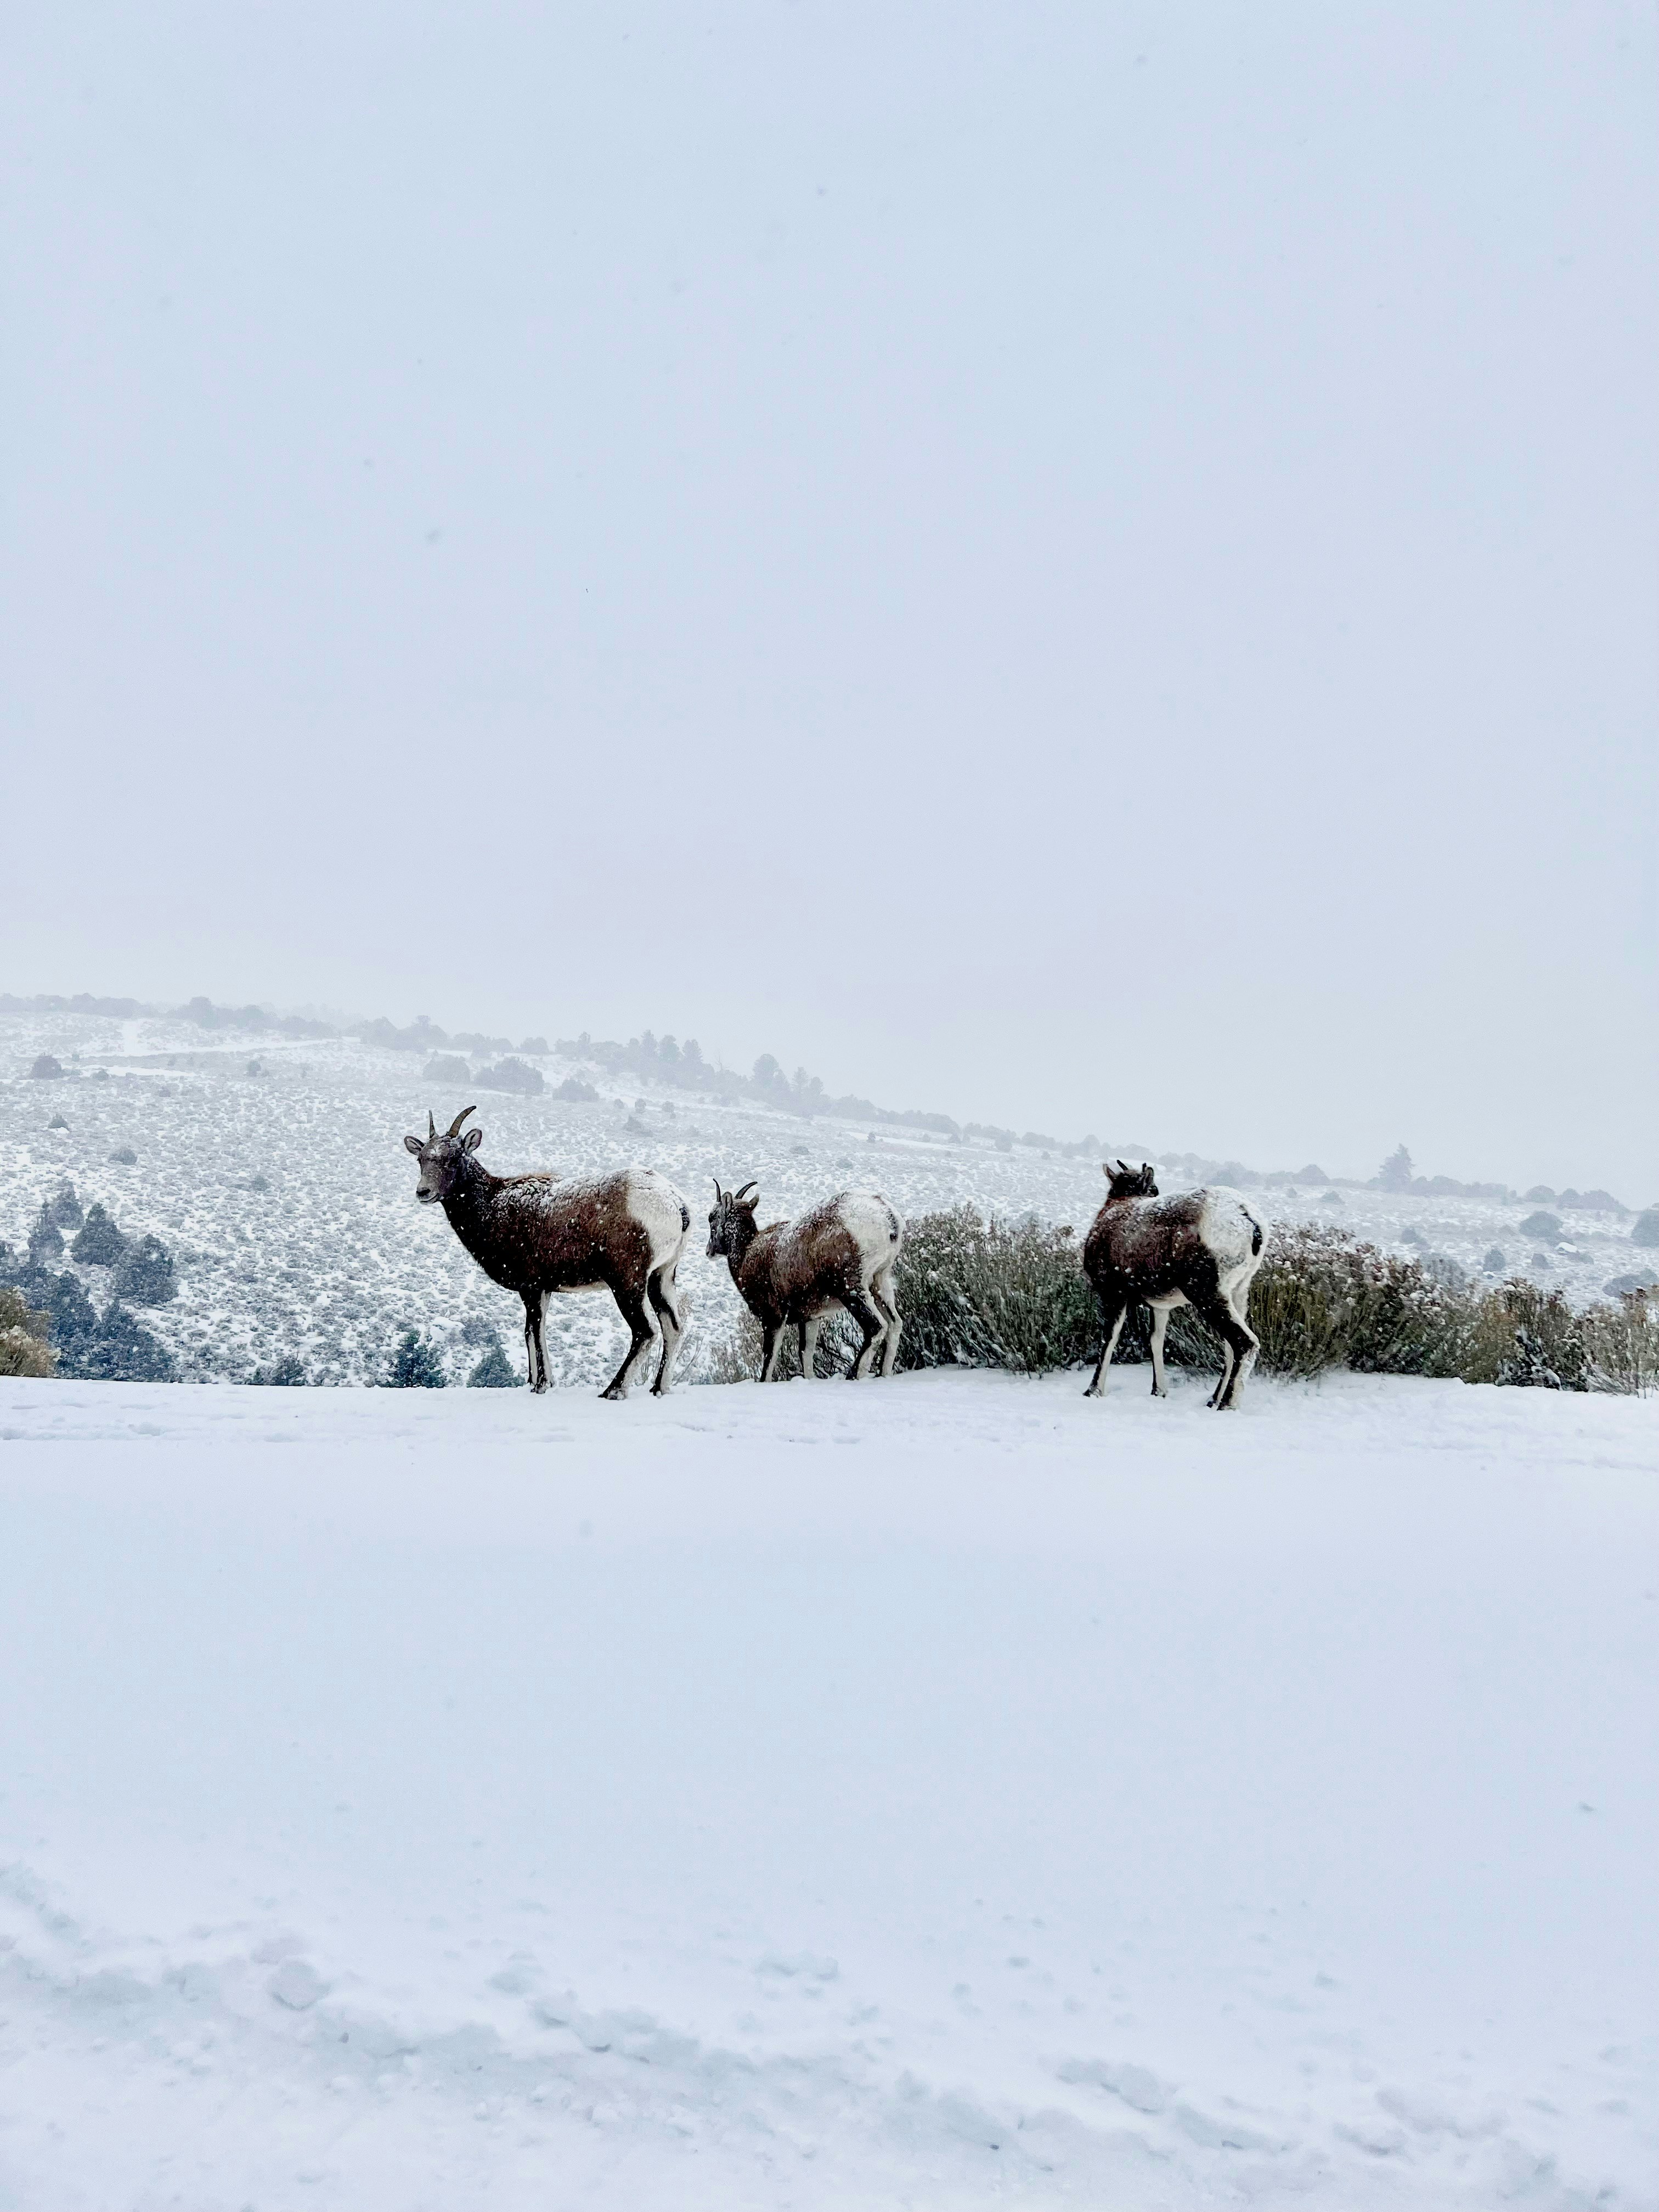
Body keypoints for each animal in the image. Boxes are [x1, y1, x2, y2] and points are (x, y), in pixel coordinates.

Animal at [403, 1107, 690, 1398]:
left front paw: (541, 1385)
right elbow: (533, 1333)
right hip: (661, 1277)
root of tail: (675, 1203)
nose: (423, 1192)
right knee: (673, 1328)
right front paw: (536, 1382)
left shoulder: (531, 1287)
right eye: (421, 1158)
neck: (493, 1206)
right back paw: (659, 1389)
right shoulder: (543, 1289)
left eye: (453, 1158)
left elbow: (534, 1331)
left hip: (627, 1282)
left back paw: (613, 1391)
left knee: (645, 1331)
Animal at [706, 1181, 904, 1381]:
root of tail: (888, 1216)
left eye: (712, 1217)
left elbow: (769, 1358)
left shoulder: (773, 1317)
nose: (709, 1251)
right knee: (895, 1324)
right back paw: (884, 1374)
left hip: (850, 1288)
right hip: (879, 1283)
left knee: (876, 1327)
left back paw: (854, 1375)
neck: (747, 1252)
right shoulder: (810, 1318)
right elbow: (805, 1353)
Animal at [1083, 1161, 1266, 1410]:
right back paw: (1213, 1400)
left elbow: (1109, 1340)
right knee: (1231, 1347)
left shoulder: (1114, 1295)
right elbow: (1155, 1340)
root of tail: (1246, 1216)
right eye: (1154, 1189)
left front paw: (1092, 1391)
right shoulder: (1160, 1307)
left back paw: (1226, 1405)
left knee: (1244, 1342)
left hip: (1207, 1295)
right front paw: (1158, 1391)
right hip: (1238, 1293)